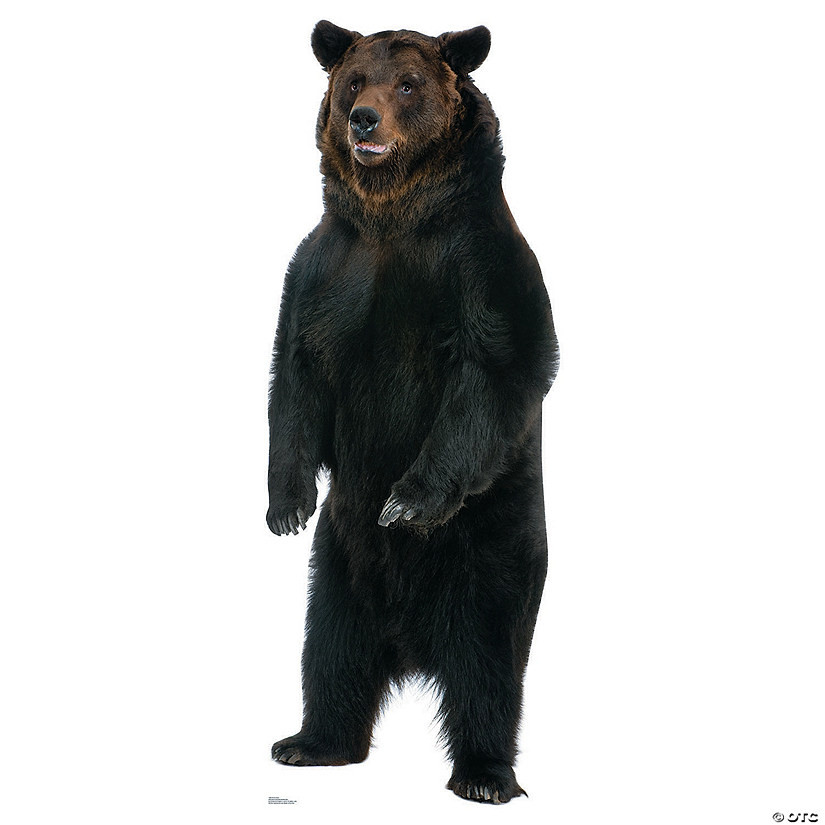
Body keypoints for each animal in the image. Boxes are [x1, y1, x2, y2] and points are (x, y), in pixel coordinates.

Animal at [266, 20, 559, 804]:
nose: (364, 119)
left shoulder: (479, 266)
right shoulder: (326, 270)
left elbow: (493, 370)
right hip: (339, 564)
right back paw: (311, 741)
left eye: (408, 84)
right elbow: (295, 376)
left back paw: (484, 775)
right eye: (353, 81)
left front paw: (406, 501)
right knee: (330, 650)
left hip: (491, 549)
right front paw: (286, 504)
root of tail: (411, 644)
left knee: (488, 666)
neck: (394, 216)